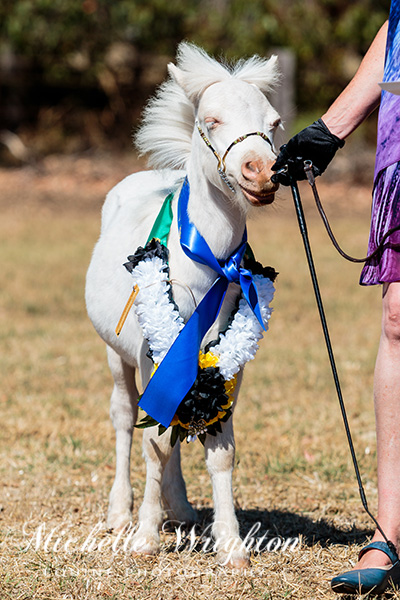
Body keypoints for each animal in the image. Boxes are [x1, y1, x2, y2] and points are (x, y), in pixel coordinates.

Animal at [86, 42, 282, 568]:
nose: (261, 172)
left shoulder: (229, 366)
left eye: (274, 122)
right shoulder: (151, 356)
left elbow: (221, 451)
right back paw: (121, 513)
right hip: (116, 356)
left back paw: (181, 509)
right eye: (210, 120)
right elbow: (152, 444)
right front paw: (144, 538)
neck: (207, 265)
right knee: (125, 418)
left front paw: (232, 546)